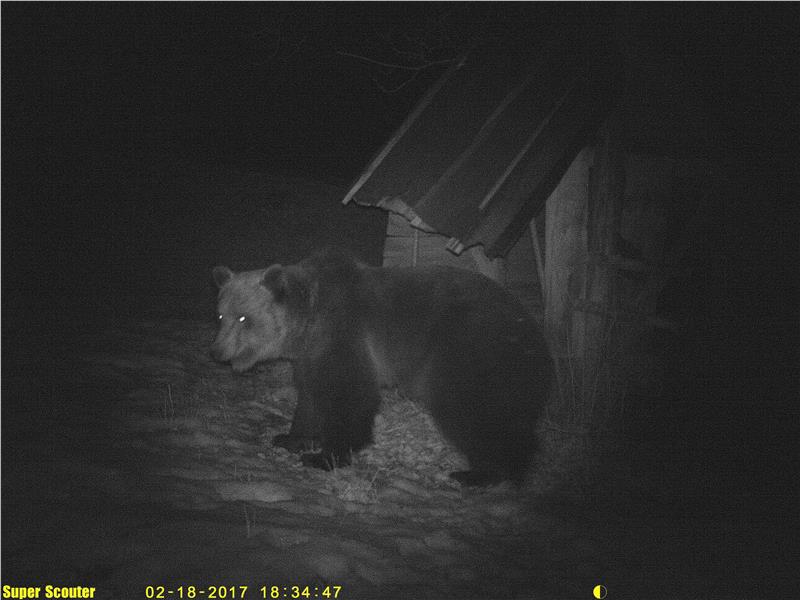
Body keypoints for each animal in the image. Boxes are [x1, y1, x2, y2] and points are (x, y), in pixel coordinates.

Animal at [211, 248, 552, 486]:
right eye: (220, 315)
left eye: (244, 317)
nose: (218, 351)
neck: (307, 321)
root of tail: (535, 333)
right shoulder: (310, 354)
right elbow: (309, 394)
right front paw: (289, 438)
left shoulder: (344, 333)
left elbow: (348, 395)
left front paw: (325, 456)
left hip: (471, 353)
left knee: (476, 413)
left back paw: (483, 473)